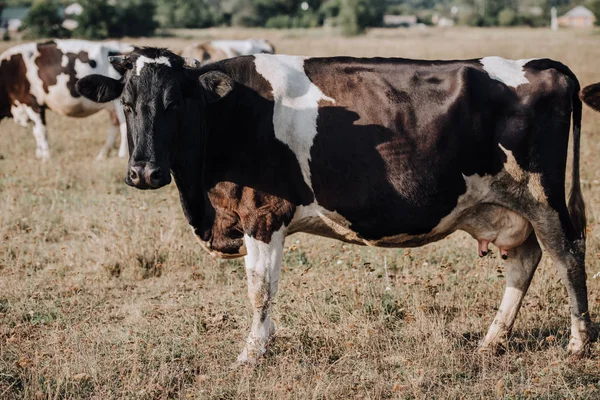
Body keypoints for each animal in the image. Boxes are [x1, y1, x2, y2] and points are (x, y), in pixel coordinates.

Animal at [0, 39, 134, 159]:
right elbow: (37, 132)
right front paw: (39, 155)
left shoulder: (32, 103)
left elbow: (40, 132)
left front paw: (46, 157)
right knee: (114, 125)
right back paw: (102, 155)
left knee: (123, 125)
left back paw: (121, 155)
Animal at [78, 49, 596, 366]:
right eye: (127, 103)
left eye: (174, 102)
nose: (144, 172)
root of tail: (544, 65)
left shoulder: (262, 217)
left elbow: (260, 290)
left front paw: (252, 353)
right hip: (506, 207)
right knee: (525, 261)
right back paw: (493, 340)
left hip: (543, 197)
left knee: (568, 255)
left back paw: (577, 342)